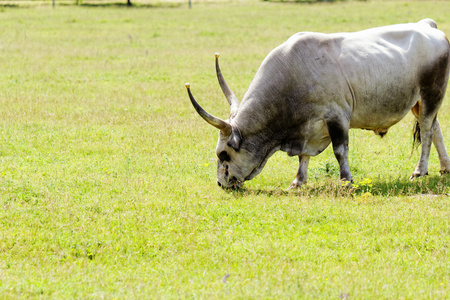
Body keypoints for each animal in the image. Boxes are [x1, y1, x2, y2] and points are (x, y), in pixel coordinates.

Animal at [184, 18, 450, 189]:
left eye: (223, 154)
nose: (221, 184)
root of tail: (427, 25)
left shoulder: (337, 116)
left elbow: (340, 151)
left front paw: (346, 180)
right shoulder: (306, 128)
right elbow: (303, 156)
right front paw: (298, 181)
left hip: (431, 95)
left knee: (427, 132)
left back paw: (420, 170)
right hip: (419, 103)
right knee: (435, 128)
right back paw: (445, 167)